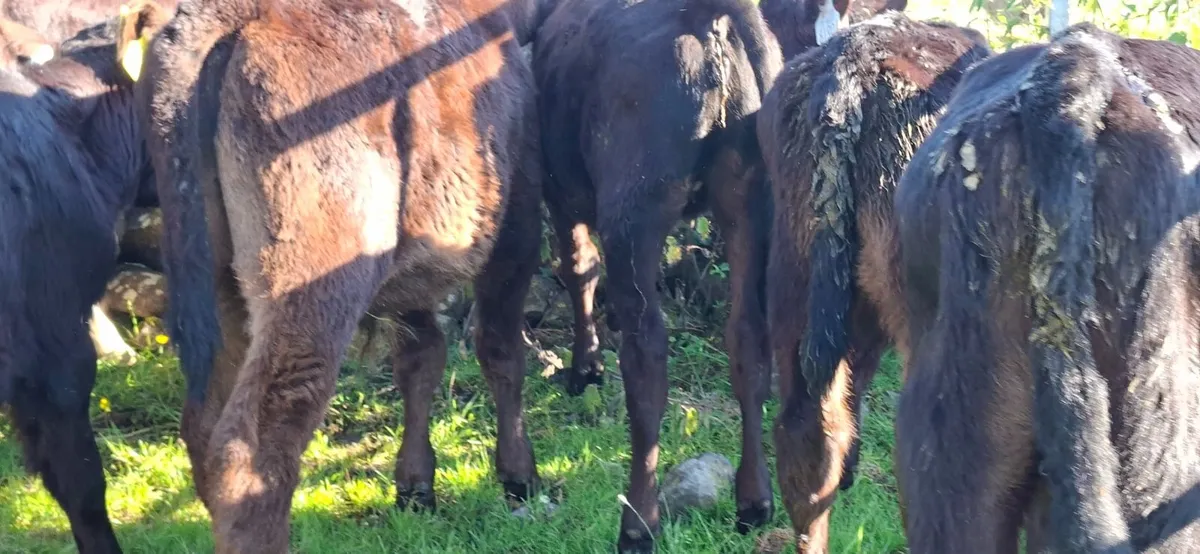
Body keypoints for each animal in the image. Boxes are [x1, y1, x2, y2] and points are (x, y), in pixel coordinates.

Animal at [134, 0, 548, 550]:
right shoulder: (517, 226)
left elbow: (420, 361)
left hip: (221, 287)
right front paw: (519, 476)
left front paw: (415, 487)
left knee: (203, 427)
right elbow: (501, 351)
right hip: (310, 292)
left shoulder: (415, 274)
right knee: (254, 446)